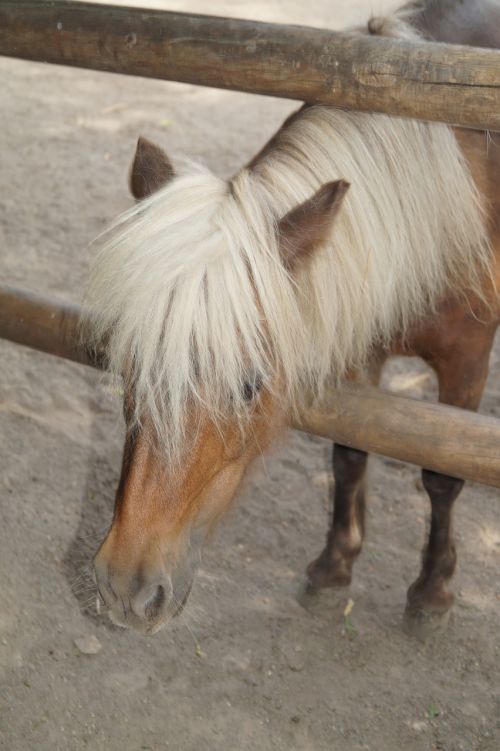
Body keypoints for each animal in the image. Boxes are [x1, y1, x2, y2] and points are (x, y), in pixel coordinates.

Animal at [85, 0, 500, 636]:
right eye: (126, 366)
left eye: (249, 386)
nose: (127, 589)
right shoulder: (361, 350)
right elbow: (350, 453)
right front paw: (335, 566)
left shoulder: (467, 360)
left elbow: (442, 471)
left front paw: (433, 591)